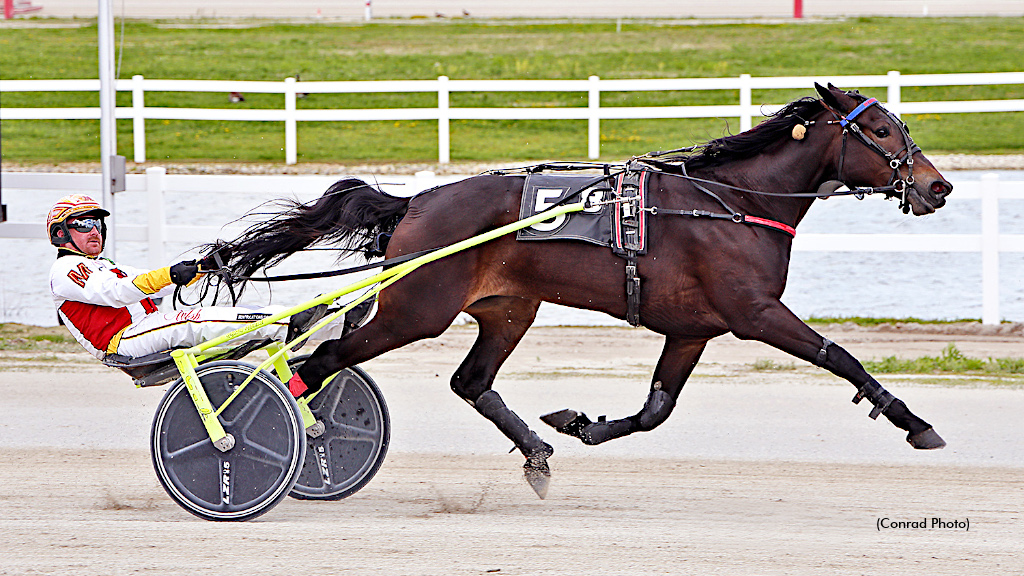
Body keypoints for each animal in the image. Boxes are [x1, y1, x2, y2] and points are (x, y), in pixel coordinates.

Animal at [210, 83, 953, 498]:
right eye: (881, 131)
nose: (938, 186)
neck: (734, 204)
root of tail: (416, 202)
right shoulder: (755, 312)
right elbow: (841, 357)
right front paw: (915, 423)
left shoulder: (692, 328)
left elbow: (655, 410)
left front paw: (578, 423)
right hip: (417, 309)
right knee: (318, 362)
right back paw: (278, 436)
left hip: (508, 308)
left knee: (467, 380)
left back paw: (537, 453)